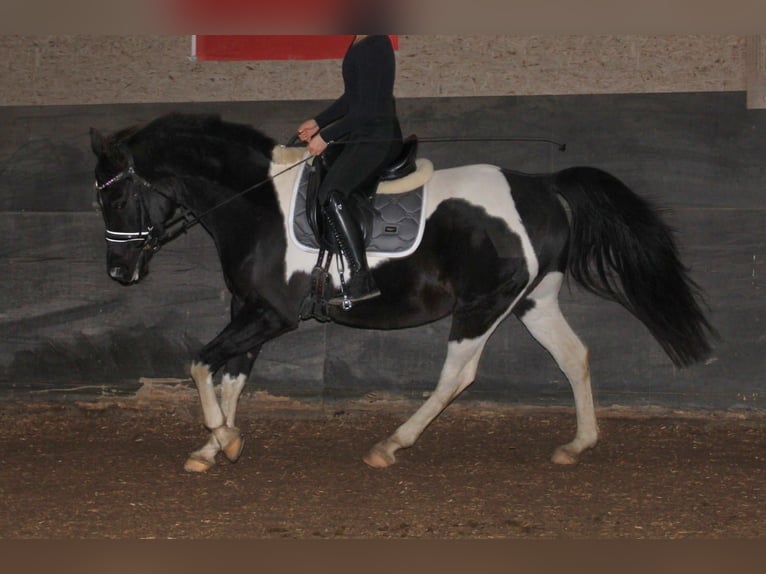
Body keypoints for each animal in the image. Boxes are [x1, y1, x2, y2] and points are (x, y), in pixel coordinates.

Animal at [91, 111, 720, 472]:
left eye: (115, 196)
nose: (119, 272)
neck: (256, 204)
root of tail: (543, 186)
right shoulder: (249, 309)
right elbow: (228, 376)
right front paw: (212, 446)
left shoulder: (271, 315)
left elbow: (200, 364)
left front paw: (223, 438)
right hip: (533, 302)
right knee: (575, 357)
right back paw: (577, 445)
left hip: (484, 305)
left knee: (457, 377)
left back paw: (391, 445)